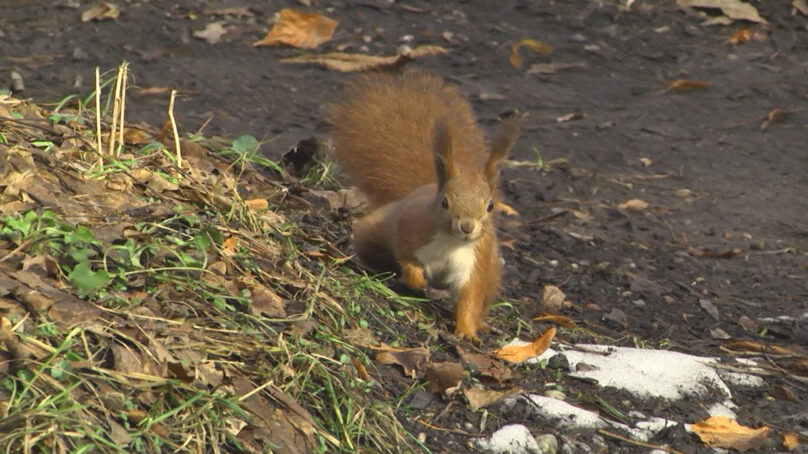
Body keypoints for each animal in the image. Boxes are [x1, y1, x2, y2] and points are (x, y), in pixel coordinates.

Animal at [330, 71, 524, 342]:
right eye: (445, 201)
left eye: (491, 205)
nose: (467, 227)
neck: (451, 242)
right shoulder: (410, 230)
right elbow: (405, 256)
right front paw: (417, 280)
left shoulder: (475, 262)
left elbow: (469, 298)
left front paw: (467, 330)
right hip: (373, 232)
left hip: (492, 272)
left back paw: (481, 324)